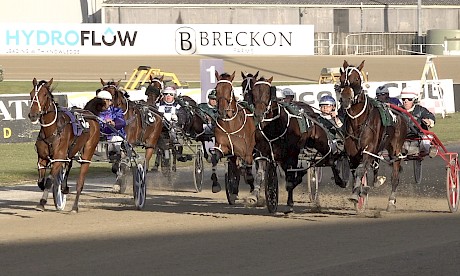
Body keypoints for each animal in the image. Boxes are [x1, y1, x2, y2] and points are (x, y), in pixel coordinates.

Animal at [28, 78, 99, 212]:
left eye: (44, 94)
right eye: (31, 94)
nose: (33, 115)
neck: (53, 130)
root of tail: (91, 115)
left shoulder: (58, 158)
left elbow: (49, 180)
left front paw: (42, 202)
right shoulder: (42, 158)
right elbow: (40, 182)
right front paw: (58, 189)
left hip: (88, 151)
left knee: (80, 182)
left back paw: (75, 207)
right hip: (71, 151)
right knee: (69, 165)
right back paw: (64, 188)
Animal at [214, 71, 256, 205]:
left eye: (230, 89)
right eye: (216, 89)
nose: (222, 111)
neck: (230, 124)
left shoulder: (247, 152)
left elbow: (249, 175)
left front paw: (254, 193)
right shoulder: (224, 147)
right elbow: (215, 158)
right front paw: (216, 185)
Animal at [338, 60, 406, 211]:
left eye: (356, 79)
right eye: (341, 78)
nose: (345, 99)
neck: (358, 121)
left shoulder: (368, 149)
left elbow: (361, 170)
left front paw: (358, 194)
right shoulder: (352, 153)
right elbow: (355, 171)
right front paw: (358, 193)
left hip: (396, 148)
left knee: (395, 174)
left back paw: (391, 201)